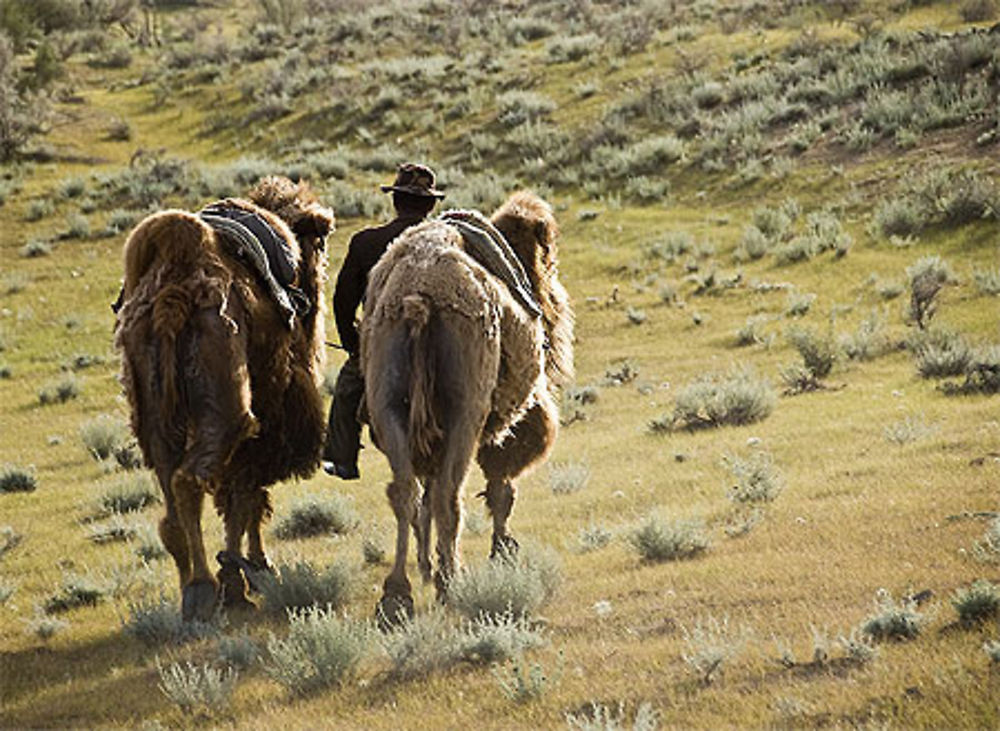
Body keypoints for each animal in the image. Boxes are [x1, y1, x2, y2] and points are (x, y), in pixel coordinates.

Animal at [113, 176, 332, 616]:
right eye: (318, 240)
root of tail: (172, 297)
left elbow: (241, 497)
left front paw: (243, 575)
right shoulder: (269, 419)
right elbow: (246, 496)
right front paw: (250, 573)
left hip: (153, 412)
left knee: (171, 494)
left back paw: (190, 586)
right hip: (228, 406)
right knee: (192, 479)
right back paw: (202, 588)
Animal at [364, 190, 576, 624]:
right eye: (547, 251)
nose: (553, 302)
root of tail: (419, 298)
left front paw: (426, 565)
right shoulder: (511, 417)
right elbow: (501, 485)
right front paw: (503, 551)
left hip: (388, 401)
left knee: (405, 491)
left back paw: (397, 594)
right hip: (466, 409)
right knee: (449, 494)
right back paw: (451, 582)